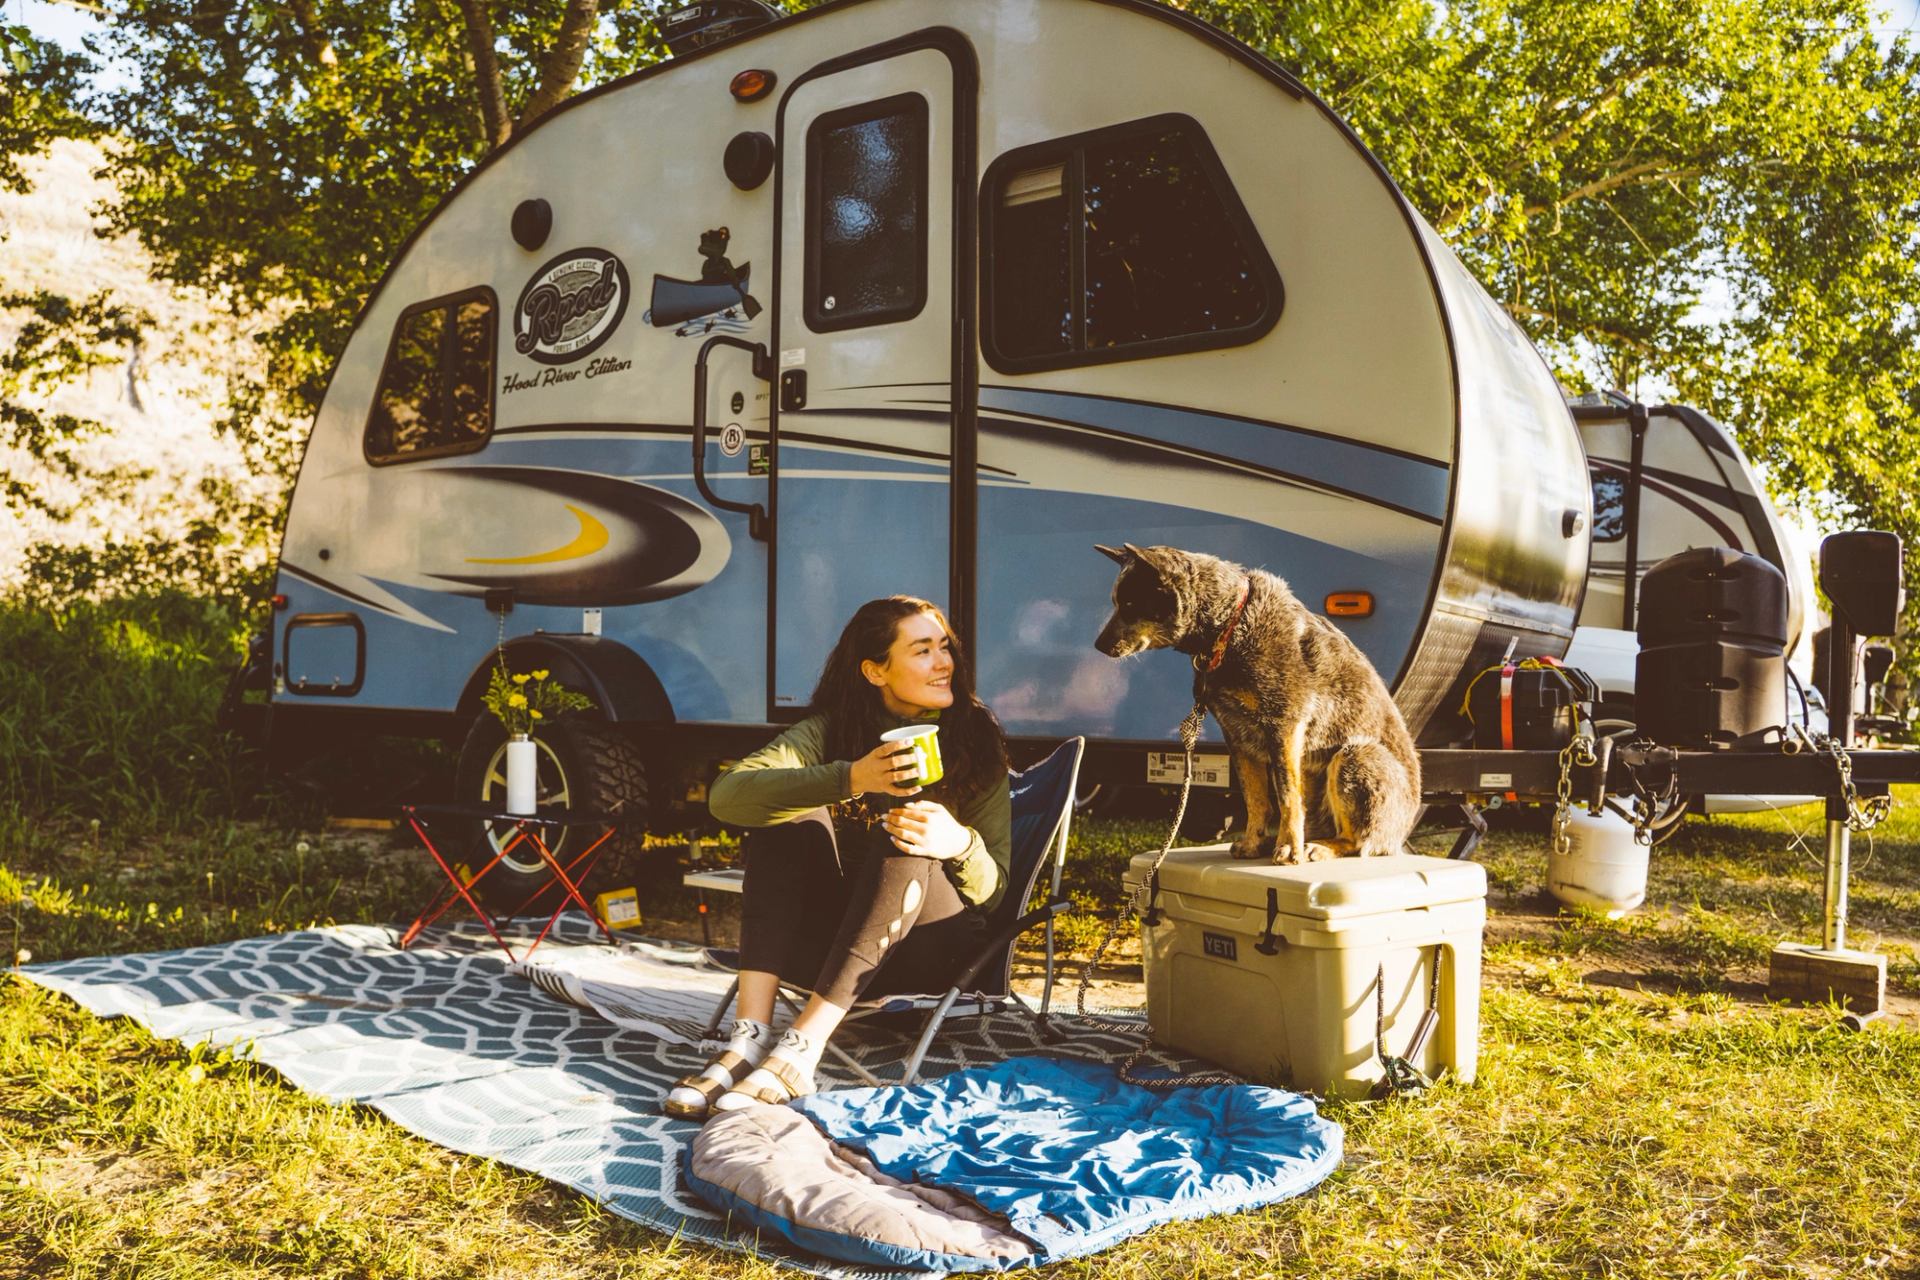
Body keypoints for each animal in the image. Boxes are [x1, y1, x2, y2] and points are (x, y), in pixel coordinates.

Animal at [1098, 545, 1428, 867]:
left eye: (1129, 604)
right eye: (1115, 602)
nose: (1098, 645)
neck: (1229, 627)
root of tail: (1398, 838)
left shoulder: (1284, 724)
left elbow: (1287, 796)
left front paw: (1289, 848)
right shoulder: (1237, 735)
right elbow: (1255, 799)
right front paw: (1254, 842)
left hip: (1354, 754)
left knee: (1358, 841)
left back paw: (1317, 847)